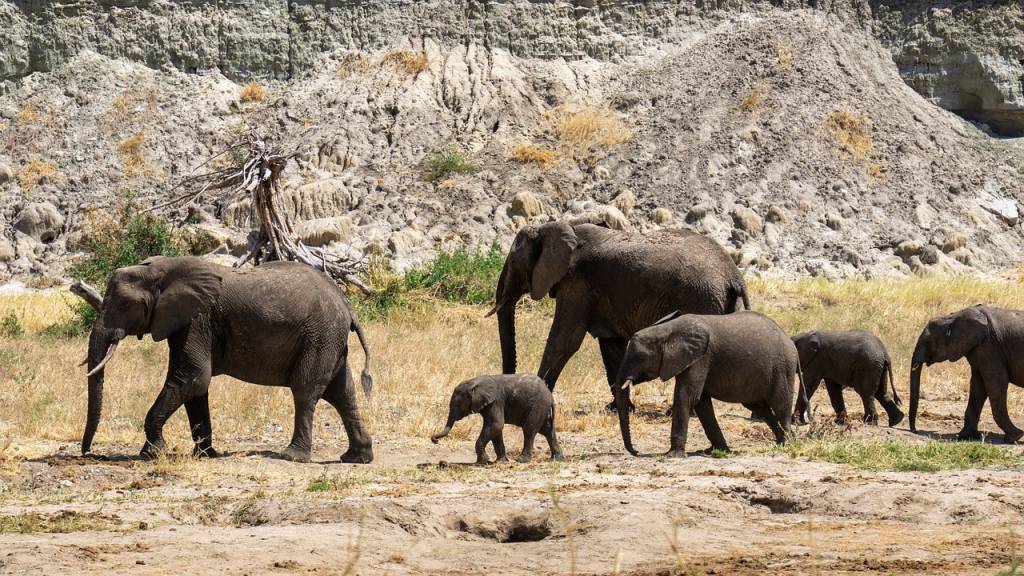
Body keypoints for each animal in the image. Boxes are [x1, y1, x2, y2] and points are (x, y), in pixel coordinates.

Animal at [80, 255, 376, 461]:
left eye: (123, 304)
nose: (88, 454)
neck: (162, 268)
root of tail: (347, 306)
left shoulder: (197, 320)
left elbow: (192, 378)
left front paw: (152, 454)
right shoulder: (188, 322)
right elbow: (195, 388)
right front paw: (205, 455)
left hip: (320, 335)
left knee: (306, 390)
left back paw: (292, 456)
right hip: (330, 339)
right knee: (342, 393)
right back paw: (356, 458)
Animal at [430, 373, 565, 461]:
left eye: (457, 404)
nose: (435, 440)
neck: (474, 382)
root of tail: (550, 396)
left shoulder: (495, 401)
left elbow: (496, 425)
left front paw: (484, 461)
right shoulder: (487, 404)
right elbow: (495, 429)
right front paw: (500, 462)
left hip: (538, 405)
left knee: (529, 429)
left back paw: (521, 460)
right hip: (542, 407)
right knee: (547, 430)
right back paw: (557, 459)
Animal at [491, 217, 749, 401]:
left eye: (513, 262)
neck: (558, 225)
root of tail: (734, 275)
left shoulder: (577, 283)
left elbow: (564, 339)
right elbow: (611, 345)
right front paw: (616, 408)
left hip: (702, 299)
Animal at [610, 311, 802, 455]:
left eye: (638, 357)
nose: (635, 452)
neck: (666, 330)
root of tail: (790, 341)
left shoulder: (700, 358)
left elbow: (686, 397)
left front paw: (673, 455)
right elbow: (701, 403)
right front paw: (718, 451)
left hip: (782, 367)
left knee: (780, 405)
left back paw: (786, 444)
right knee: (759, 407)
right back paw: (783, 442)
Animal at [909, 305, 1019, 444]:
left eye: (928, 342)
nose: (915, 430)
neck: (953, 316)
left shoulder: (989, 346)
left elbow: (996, 383)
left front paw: (1015, 437)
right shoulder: (978, 348)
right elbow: (978, 388)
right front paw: (966, 437)